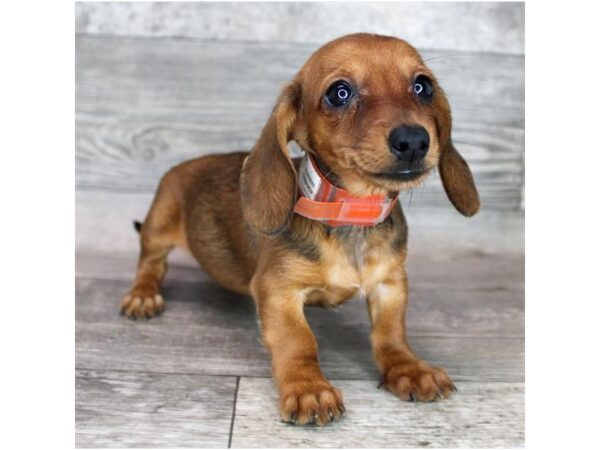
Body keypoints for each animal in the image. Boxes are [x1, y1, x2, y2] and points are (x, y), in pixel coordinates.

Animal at [120, 34, 478, 426]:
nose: (414, 141)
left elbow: (391, 333)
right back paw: (142, 295)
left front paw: (408, 369)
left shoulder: (390, 283)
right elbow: (299, 341)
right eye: (339, 93)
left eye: (422, 86)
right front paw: (308, 388)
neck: (352, 212)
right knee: (150, 263)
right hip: (157, 227)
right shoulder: (278, 290)